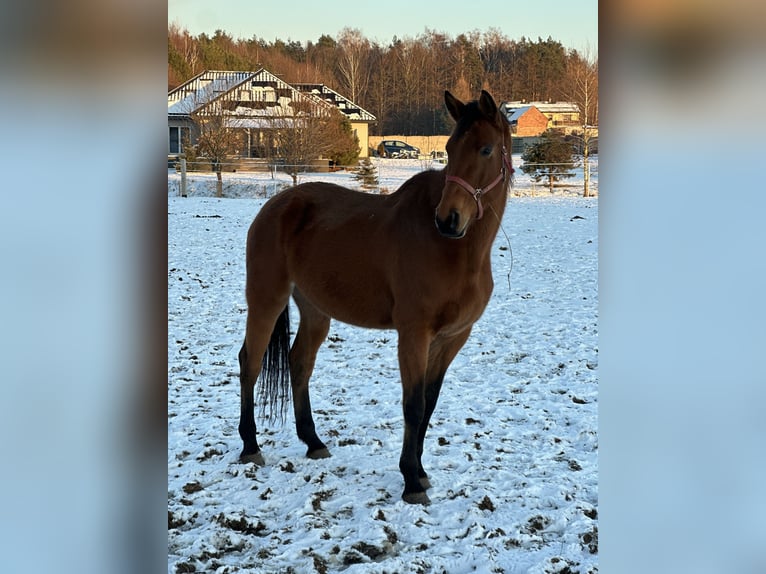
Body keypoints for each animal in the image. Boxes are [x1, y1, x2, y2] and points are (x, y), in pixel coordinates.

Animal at [238, 90, 516, 504]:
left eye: (485, 149)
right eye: (450, 149)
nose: (448, 219)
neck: (455, 251)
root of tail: (276, 205)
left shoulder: (452, 338)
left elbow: (429, 404)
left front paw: (421, 472)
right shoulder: (414, 334)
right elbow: (413, 406)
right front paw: (411, 481)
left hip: (315, 310)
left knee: (299, 362)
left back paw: (313, 442)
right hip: (266, 299)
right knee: (250, 363)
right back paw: (250, 447)